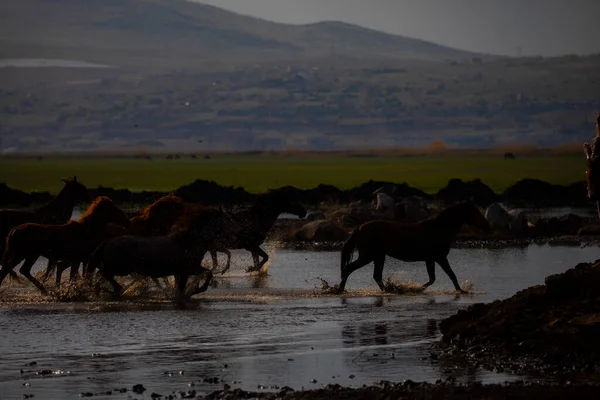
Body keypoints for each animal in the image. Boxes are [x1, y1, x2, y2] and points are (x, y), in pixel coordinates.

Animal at [0, 196, 131, 294]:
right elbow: (74, 277)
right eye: (114, 209)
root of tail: (13, 231)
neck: (87, 231)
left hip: (25, 255)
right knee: (15, 269)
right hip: (26, 254)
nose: (127, 221)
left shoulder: (81, 259)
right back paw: (43, 290)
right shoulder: (78, 259)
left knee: (14, 269)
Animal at [86, 208, 230, 298]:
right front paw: (194, 290)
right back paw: (117, 289)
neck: (190, 240)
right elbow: (201, 277)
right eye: (225, 220)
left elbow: (207, 274)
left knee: (102, 275)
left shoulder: (189, 269)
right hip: (121, 268)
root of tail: (109, 241)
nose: (230, 237)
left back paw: (103, 291)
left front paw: (195, 290)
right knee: (103, 273)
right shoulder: (187, 270)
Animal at [336, 203, 490, 294]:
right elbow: (451, 275)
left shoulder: (430, 259)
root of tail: (360, 228)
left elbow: (432, 279)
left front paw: (415, 288)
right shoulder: (440, 257)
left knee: (376, 276)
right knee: (349, 269)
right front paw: (461, 291)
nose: (488, 226)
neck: (439, 229)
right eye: (475, 213)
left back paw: (390, 290)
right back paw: (340, 290)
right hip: (368, 256)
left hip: (378, 256)